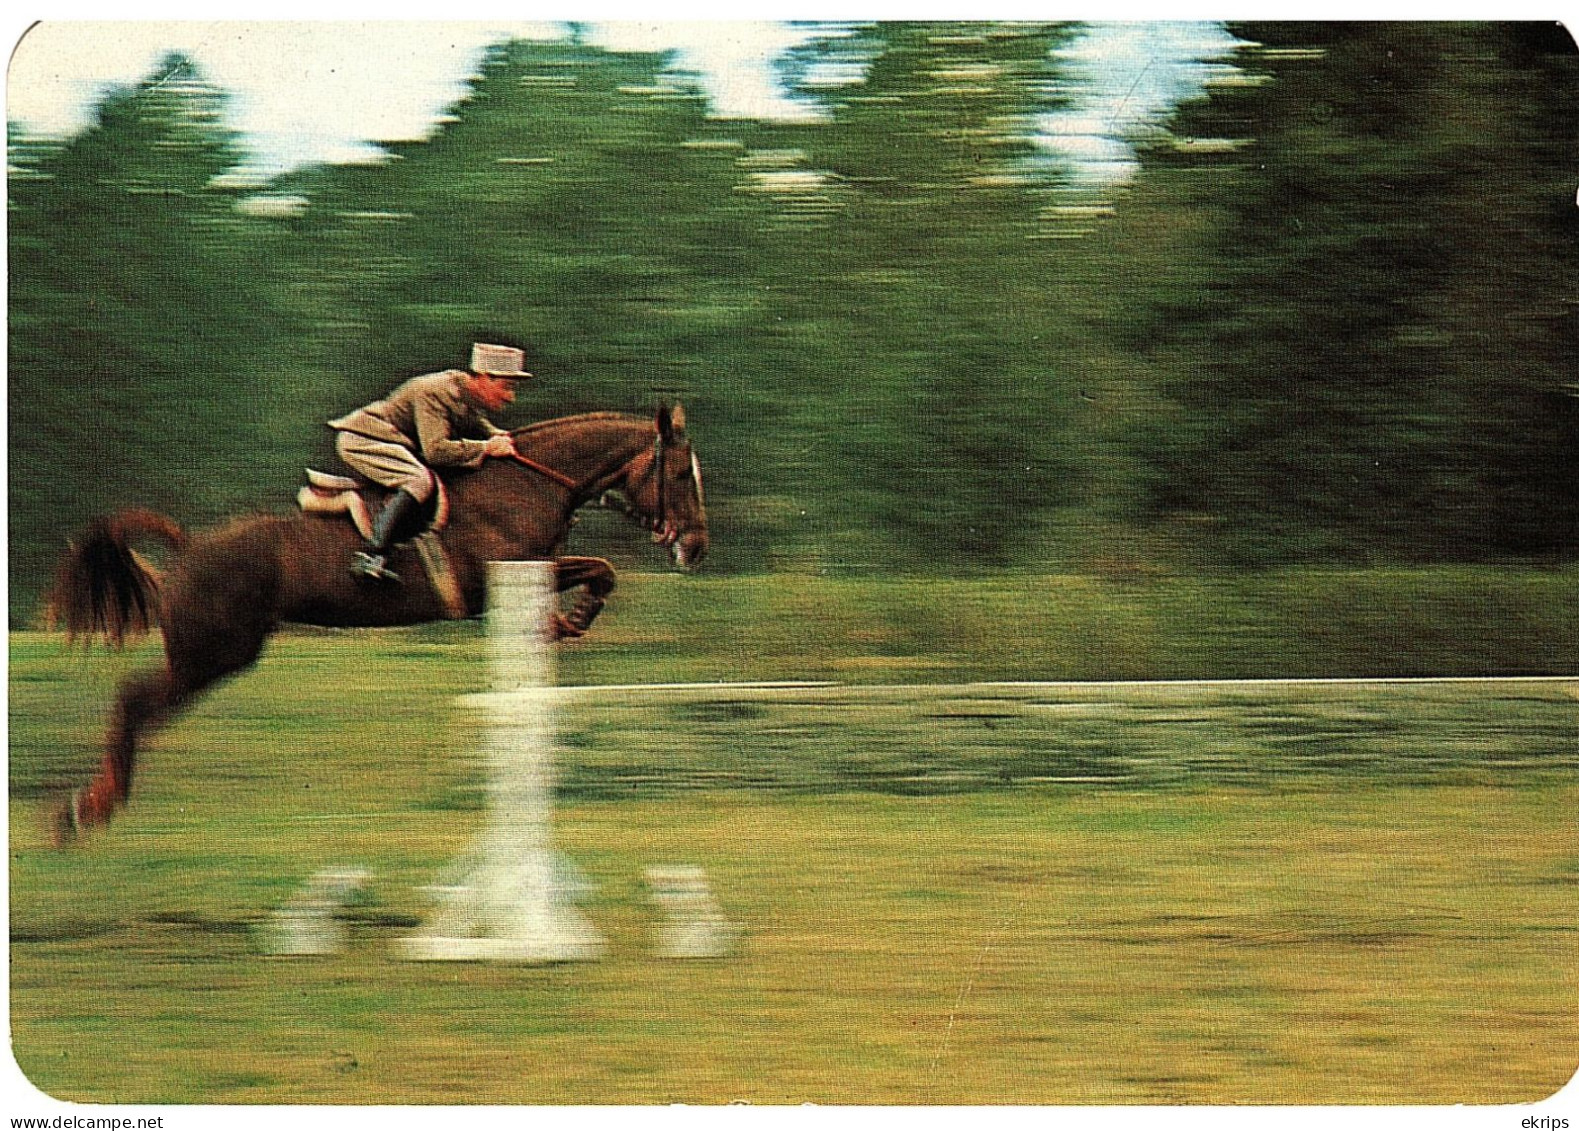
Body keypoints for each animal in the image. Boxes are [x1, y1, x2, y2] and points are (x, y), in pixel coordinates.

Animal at [44, 404, 710, 840]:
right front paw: (566, 622)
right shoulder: (491, 583)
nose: (697, 549)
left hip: (216, 654)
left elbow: (601, 571)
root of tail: (190, 547)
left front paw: (569, 621)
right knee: (134, 700)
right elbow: (595, 570)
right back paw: (86, 809)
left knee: (138, 703)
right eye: (681, 475)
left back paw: (91, 806)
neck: (524, 483)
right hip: (212, 653)